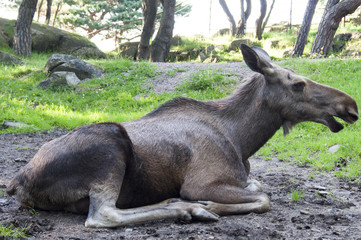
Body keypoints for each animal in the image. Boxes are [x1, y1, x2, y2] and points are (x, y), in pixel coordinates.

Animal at [7, 44, 356, 227]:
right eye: (298, 84)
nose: (350, 106)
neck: (242, 140)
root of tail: (17, 183)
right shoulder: (202, 182)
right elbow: (263, 198)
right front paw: (209, 205)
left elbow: (258, 186)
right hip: (109, 146)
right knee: (103, 215)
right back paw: (186, 208)